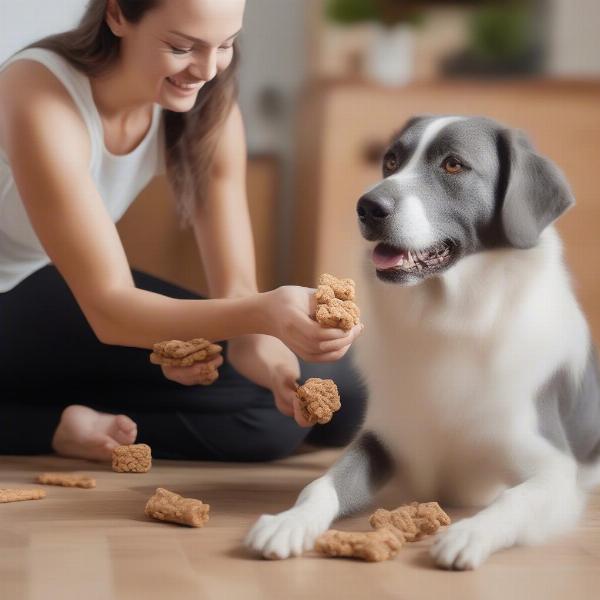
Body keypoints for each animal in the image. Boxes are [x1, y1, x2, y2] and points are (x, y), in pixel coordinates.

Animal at [245, 115, 600, 568]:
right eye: (391, 161)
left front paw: (468, 534)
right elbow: (322, 484)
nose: (368, 207)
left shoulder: (552, 468)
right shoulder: (382, 439)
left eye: (453, 165)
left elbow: (512, 501)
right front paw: (289, 522)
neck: (450, 317)